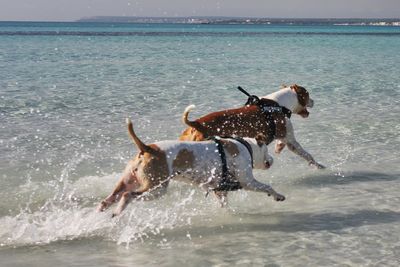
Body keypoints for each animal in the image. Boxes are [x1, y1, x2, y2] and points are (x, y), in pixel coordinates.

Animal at [97, 118, 284, 217]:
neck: (246, 146)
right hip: (156, 188)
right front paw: (278, 195)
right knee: (128, 196)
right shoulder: (248, 181)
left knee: (111, 197)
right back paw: (119, 210)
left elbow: (223, 203)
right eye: (267, 150)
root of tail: (148, 148)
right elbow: (267, 187)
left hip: (129, 179)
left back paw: (102, 210)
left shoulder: (219, 190)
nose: (272, 160)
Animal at [180, 85, 324, 170]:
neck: (278, 104)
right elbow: (307, 155)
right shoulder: (291, 140)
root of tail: (196, 123)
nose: (314, 101)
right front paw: (318, 165)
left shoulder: (285, 136)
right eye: (308, 95)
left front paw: (278, 147)